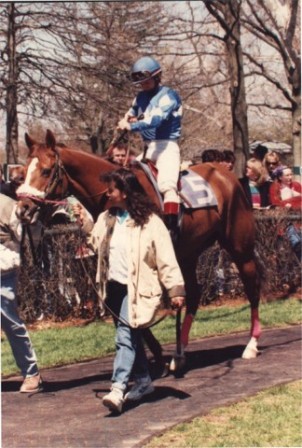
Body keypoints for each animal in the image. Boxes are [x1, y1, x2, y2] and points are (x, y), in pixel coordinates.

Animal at [17, 130, 262, 368]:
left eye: (46, 170)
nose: (23, 209)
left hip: (239, 247)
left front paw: (155, 351)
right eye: (24, 172)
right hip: (187, 254)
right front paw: (154, 351)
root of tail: (227, 175)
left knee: (252, 285)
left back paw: (251, 345)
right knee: (193, 293)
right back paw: (180, 353)